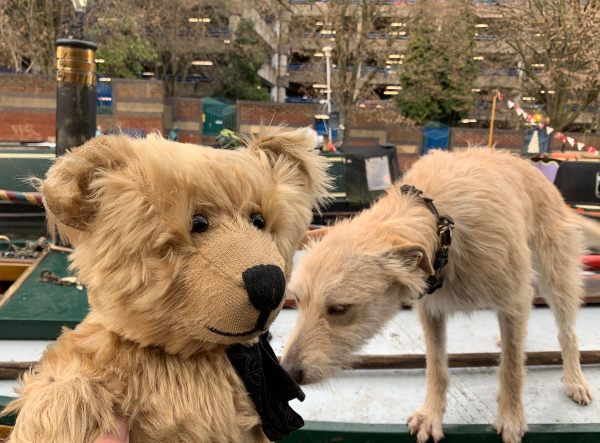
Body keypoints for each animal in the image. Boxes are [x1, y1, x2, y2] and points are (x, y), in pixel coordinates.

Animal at [284, 149, 592, 443]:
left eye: (339, 309)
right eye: (298, 300)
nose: (288, 372)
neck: (443, 226)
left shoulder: (515, 298)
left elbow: (513, 368)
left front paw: (511, 417)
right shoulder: (431, 310)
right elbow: (436, 367)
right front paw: (431, 415)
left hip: (557, 277)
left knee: (566, 332)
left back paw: (575, 380)